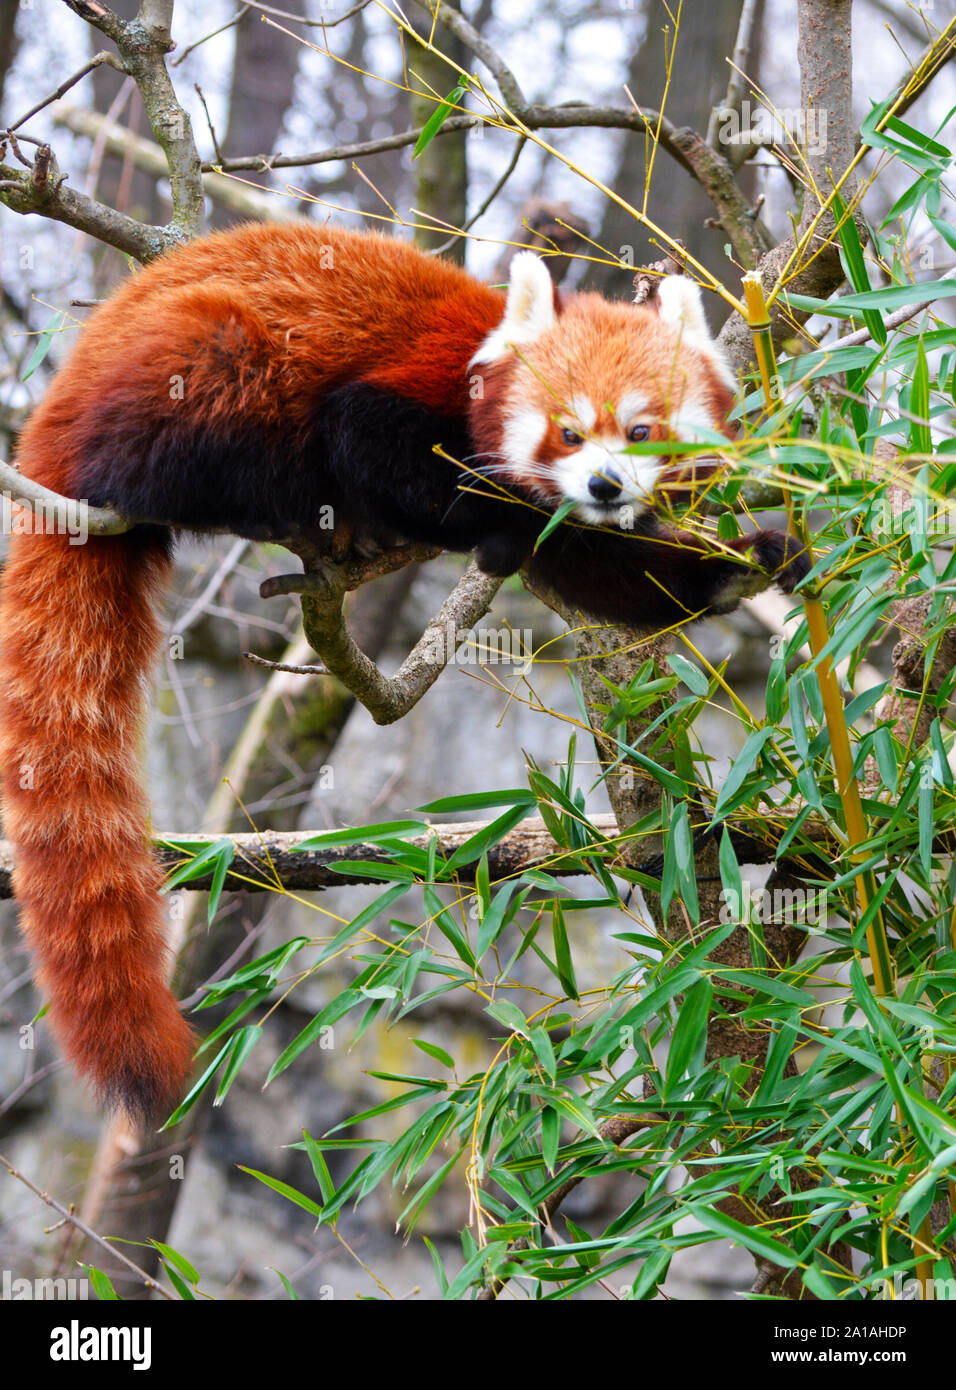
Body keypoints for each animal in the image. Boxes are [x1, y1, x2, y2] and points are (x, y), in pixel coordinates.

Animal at [0, 225, 805, 1117]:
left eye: (641, 432)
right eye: (567, 433)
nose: (602, 485)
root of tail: (53, 420)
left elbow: (603, 564)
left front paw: (740, 566)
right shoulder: (409, 390)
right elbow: (377, 444)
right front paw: (496, 522)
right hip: (189, 371)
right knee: (196, 429)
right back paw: (284, 507)